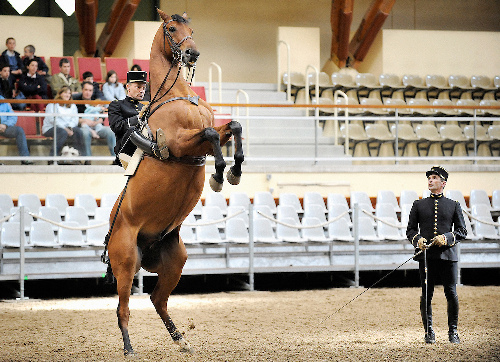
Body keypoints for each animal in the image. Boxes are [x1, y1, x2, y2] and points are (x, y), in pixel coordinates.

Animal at [107, 9, 244, 354]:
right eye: (171, 29)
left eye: (190, 30)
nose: (192, 53)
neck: (177, 95)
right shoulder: (182, 144)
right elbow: (211, 135)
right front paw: (219, 174)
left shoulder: (204, 138)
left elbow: (232, 126)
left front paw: (233, 171)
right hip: (125, 262)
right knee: (123, 307)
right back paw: (129, 347)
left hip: (175, 261)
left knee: (158, 299)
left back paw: (181, 339)